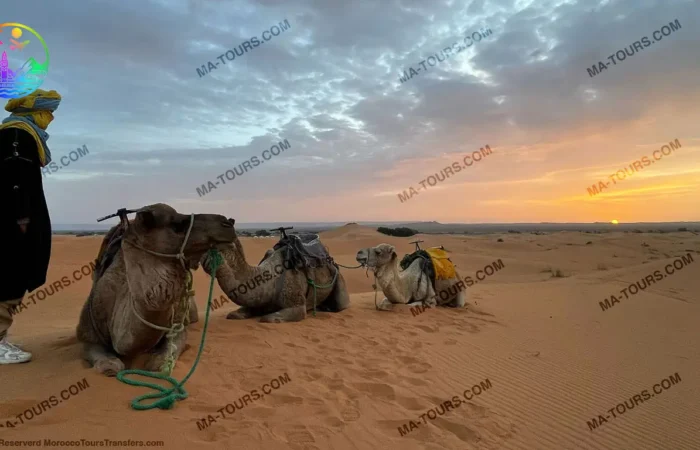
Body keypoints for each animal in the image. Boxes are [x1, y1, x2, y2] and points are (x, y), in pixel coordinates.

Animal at [75, 204, 235, 376]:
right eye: (177, 225)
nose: (228, 223)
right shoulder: (88, 334)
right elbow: (108, 365)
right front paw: (110, 365)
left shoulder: (177, 327)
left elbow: (162, 360)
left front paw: (159, 362)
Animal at [200, 223, 350, 322]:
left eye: (214, 243)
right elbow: (235, 314)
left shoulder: (296, 303)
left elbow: (268, 318)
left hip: (338, 278)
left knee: (341, 304)